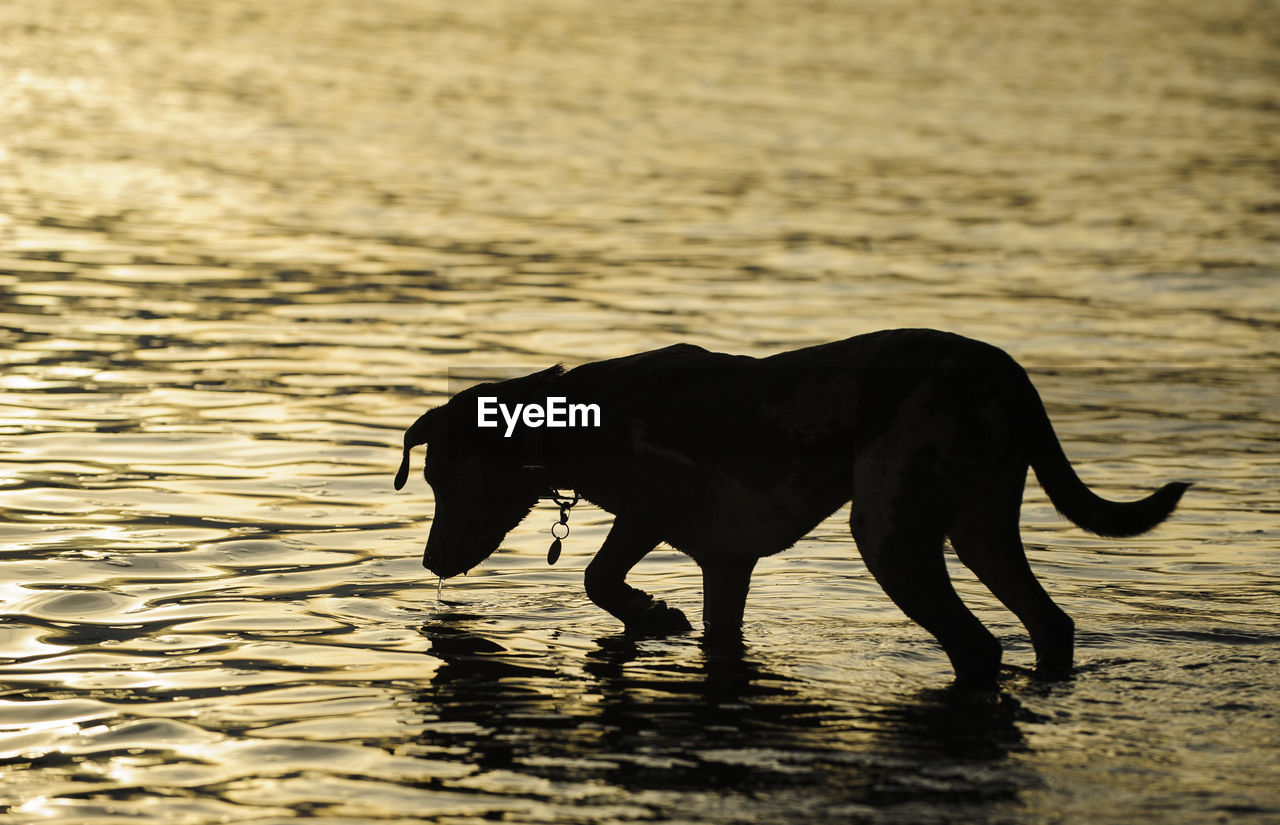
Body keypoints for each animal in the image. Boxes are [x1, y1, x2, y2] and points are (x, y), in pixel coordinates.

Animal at [396, 327, 1187, 680]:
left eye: (441, 479)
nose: (431, 563)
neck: (575, 417)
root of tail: (1003, 369)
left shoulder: (657, 499)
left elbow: (597, 575)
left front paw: (652, 613)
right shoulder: (727, 563)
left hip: (890, 531)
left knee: (979, 642)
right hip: (981, 526)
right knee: (1050, 624)